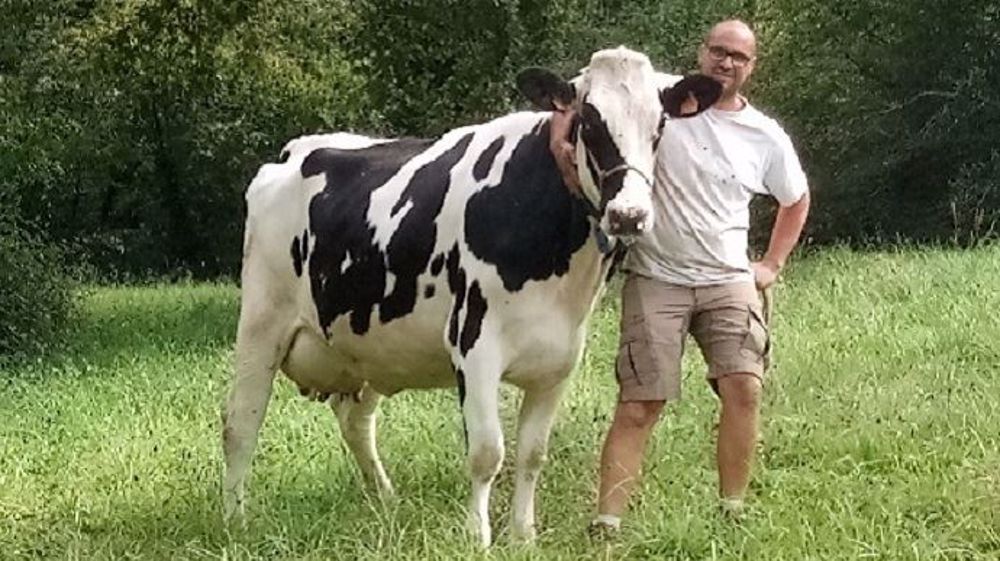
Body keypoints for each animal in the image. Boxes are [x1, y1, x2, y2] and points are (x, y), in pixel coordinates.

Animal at [222, 47, 720, 546]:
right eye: (589, 121)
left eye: (660, 127)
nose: (629, 215)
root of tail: (295, 151)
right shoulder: (475, 344)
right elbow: (487, 452)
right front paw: (477, 536)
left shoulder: (559, 361)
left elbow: (532, 453)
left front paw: (524, 536)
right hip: (261, 323)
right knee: (240, 424)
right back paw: (237, 519)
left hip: (367, 346)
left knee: (355, 420)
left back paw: (385, 500)